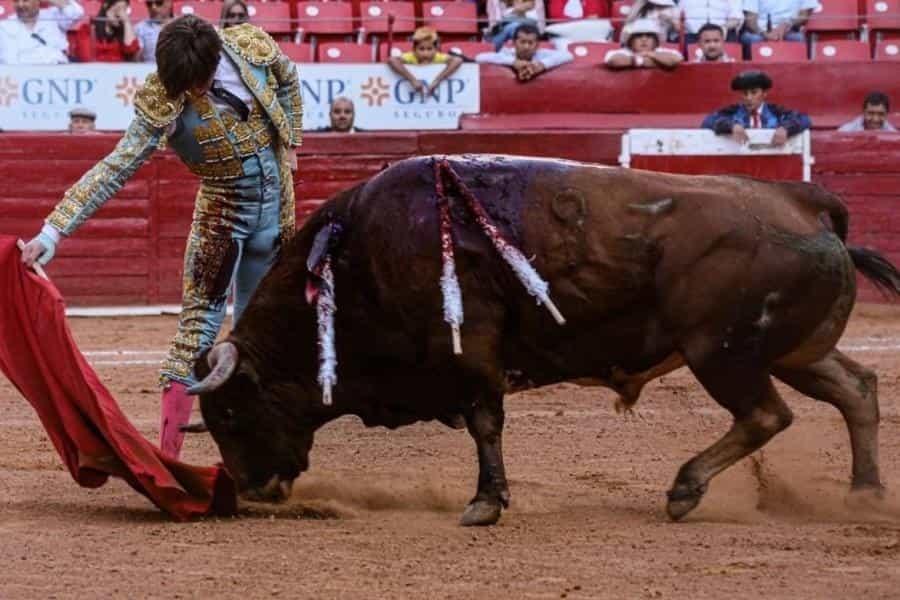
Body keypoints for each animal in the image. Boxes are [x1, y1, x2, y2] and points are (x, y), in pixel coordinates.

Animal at [188, 155, 900, 524]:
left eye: (231, 413)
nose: (251, 490)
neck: (357, 258)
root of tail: (806, 202)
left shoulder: (471, 350)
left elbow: (485, 424)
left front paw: (484, 504)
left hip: (722, 352)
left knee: (766, 415)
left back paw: (685, 489)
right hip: (791, 351)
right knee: (856, 389)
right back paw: (864, 493)